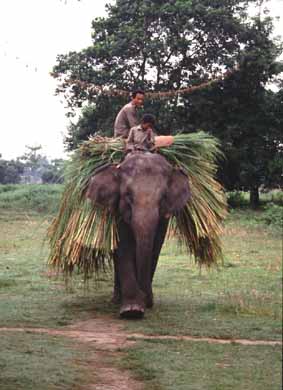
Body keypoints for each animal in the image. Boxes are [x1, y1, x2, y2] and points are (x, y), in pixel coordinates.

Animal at [86, 151, 191, 318]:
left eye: (163, 197)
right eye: (128, 195)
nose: (148, 300)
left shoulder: (163, 219)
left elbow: (154, 248)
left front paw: (142, 304)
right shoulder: (118, 212)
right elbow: (123, 248)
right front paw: (132, 311)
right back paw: (117, 299)